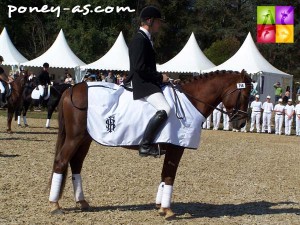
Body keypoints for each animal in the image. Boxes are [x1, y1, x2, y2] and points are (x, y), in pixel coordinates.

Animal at [48, 70, 252, 218]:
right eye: (244, 94)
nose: (241, 123)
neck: (191, 101)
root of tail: (72, 89)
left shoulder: (170, 146)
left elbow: (164, 175)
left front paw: (160, 206)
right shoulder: (176, 148)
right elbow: (169, 176)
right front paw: (167, 211)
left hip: (85, 139)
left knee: (75, 164)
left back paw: (81, 202)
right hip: (75, 138)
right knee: (61, 162)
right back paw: (55, 205)